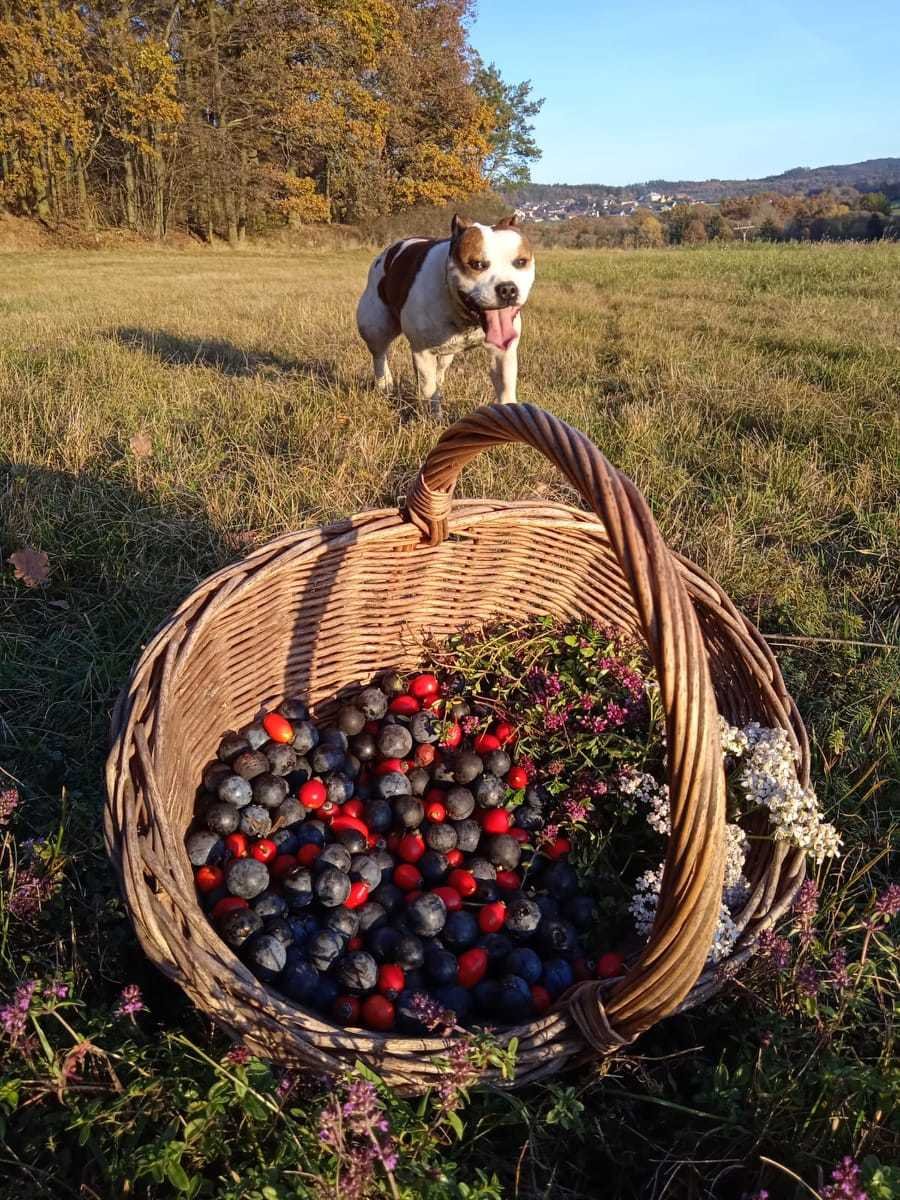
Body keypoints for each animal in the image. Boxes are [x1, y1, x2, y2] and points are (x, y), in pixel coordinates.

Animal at [355, 214, 535, 417]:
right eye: (478, 265)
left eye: (521, 262)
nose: (508, 289)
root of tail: (387, 251)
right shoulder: (423, 352)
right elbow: (428, 390)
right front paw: (433, 418)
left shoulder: (503, 352)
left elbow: (505, 387)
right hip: (374, 327)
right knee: (379, 354)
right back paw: (384, 384)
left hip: (445, 353)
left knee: (439, 372)